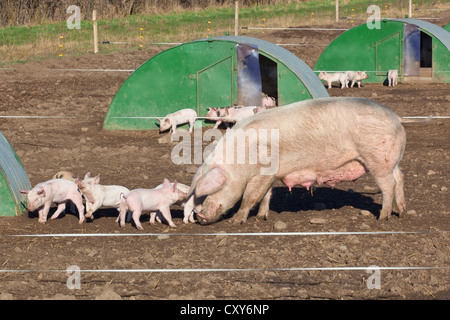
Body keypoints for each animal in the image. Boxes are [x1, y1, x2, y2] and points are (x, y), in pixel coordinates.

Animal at [188, 97, 406, 225]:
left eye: (211, 191)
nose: (200, 216)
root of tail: (397, 120)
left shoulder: (263, 172)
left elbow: (250, 196)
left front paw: (236, 221)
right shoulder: (270, 175)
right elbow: (266, 195)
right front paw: (262, 217)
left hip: (378, 159)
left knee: (388, 185)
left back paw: (383, 217)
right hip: (391, 160)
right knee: (400, 178)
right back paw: (402, 211)